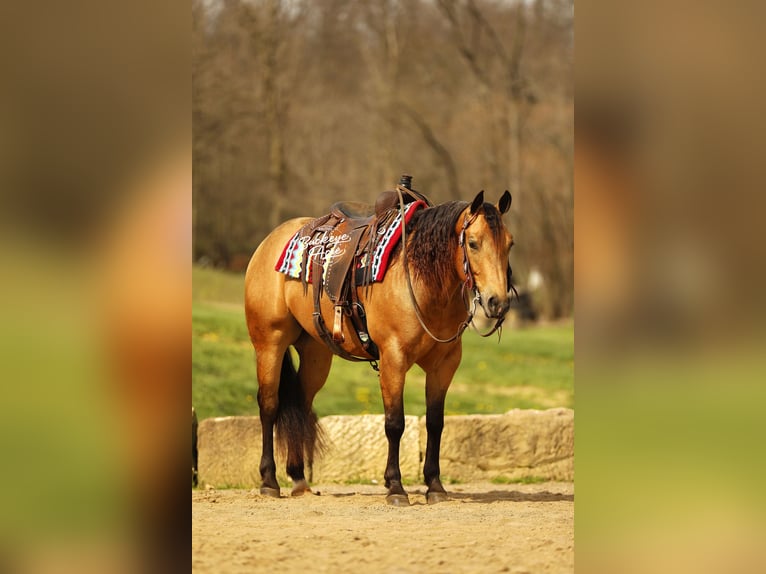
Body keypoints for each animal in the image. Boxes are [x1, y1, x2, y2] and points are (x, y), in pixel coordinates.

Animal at [244, 187, 514, 505]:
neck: (423, 283)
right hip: (269, 343)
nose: (498, 302)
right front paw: (395, 486)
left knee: (300, 403)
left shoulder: (444, 364)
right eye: (473, 243)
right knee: (269, 405)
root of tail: (270, 241)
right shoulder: (393, 359)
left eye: (509, 244)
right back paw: (269, 480)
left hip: (315, 354)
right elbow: (395, 423)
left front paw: (435, 485)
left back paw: (299, 479)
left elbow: (435, 422)